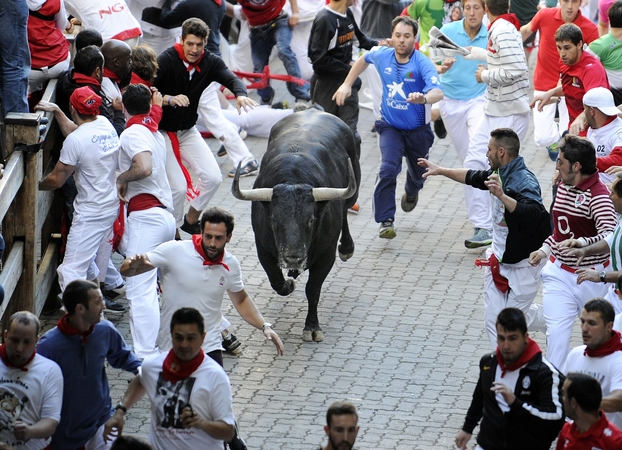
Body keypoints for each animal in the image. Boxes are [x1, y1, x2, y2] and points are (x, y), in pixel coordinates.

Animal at [233, 110, 360, 342]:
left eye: (311, 220)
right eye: (273, 219)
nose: (293, 257)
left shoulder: (326, 255)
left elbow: (313, 289)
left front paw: (312, 327)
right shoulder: (263, 249)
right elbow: (277, 282)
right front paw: (289, 283)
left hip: (352, 190)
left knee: (346, 210)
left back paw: (347, 248)